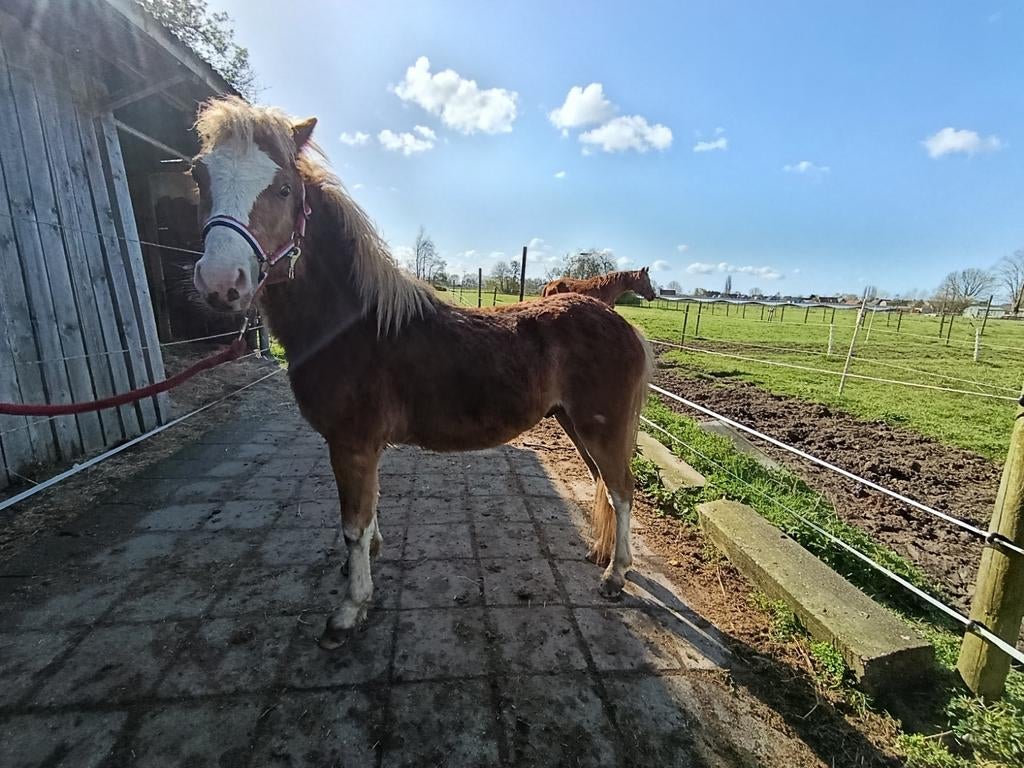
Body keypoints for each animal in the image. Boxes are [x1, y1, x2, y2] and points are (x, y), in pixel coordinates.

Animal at [190, 98, 653, 649]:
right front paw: (365, 566)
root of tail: (623, 324)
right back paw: (600, 555)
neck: (354, 326)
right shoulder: (361, 449)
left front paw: (349, 610)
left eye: (282, 188)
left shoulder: (351, 444)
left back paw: (615, 576)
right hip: (575, 425)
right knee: (606, 484)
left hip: (600, 428)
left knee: (622, 490)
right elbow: (367, 518)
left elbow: (353, 525)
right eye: (199, 176)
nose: (221, 283)